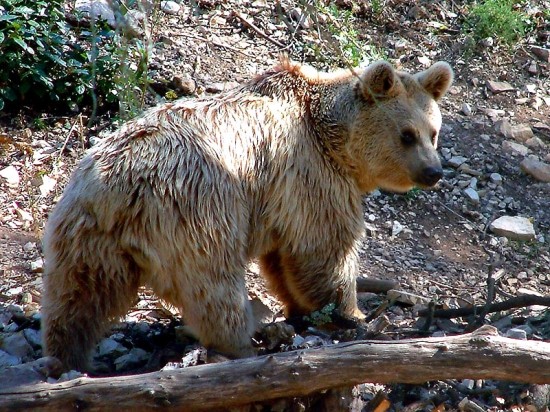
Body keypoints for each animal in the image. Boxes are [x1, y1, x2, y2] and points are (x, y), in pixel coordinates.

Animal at [43, 57, 454, 370]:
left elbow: (284, 258)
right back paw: (243, 339)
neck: (332, 139)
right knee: (215, 283)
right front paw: (351, 314)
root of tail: (123, 188)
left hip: (85, 230)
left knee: (77, 296)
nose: (433, 171)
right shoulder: (311, 176)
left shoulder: (282, 197)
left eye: (433, 132)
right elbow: (325, 247)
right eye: (406, 134)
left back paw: (65, 355)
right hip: (198, 208)